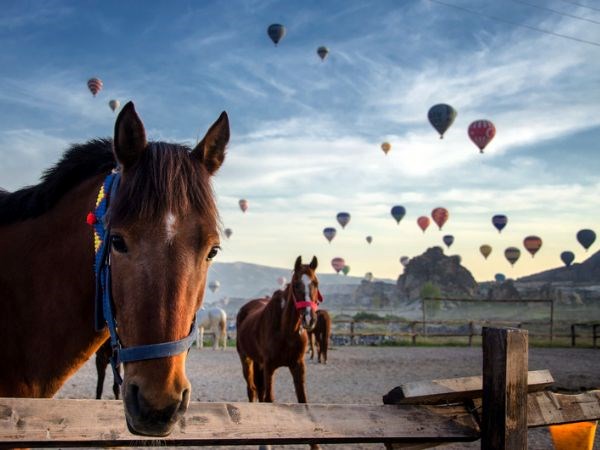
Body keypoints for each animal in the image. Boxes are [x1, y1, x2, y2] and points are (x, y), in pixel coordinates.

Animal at [237, 255, 324, 402]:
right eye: (296, 284)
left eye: (316, 283)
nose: (309, 319)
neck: (286, 331)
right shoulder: (269, 367)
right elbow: (269, 398)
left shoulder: (298, 366)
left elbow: (302, 399)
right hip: (246, 360)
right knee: (252, 390)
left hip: (258, 363)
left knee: (259, 390)